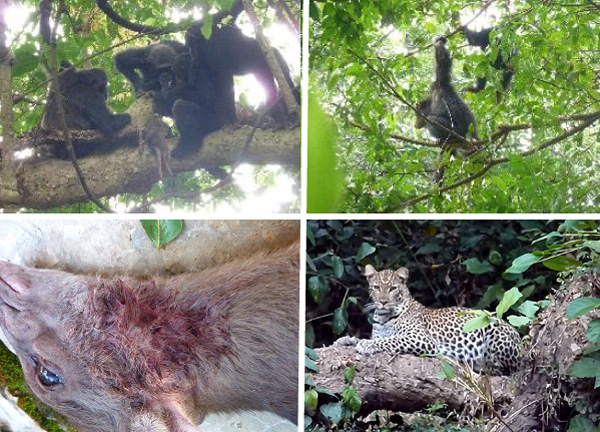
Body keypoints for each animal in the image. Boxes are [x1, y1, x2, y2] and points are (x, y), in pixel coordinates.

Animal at [336, 264, 524, 374]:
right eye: (376, 287)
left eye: (392, 289)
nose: (383, 302)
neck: (383, 317)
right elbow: (371, 338)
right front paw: (345, 340)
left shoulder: (421, 339)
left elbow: (389, 340)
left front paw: (366, 345)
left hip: (495, 332)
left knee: (511, 368)